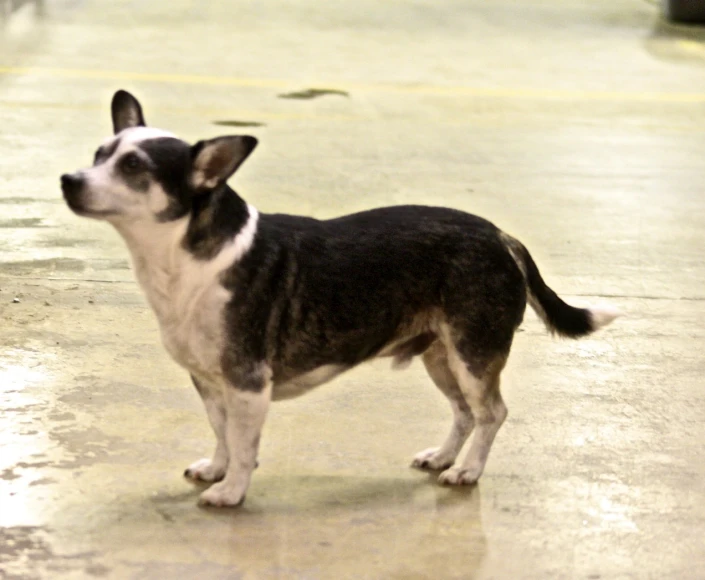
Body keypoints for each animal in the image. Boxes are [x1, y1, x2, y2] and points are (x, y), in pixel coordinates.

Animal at [60, 90, 620, 508]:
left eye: (133, 166)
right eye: (98, 155)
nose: (68, 180)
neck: (183, 259)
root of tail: (501, 235)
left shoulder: (247, 384)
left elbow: (243, 445)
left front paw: (232, 491)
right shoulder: (210, 381)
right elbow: (222, 434)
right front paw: (216, 470)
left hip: (473, 354)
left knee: (491, 414)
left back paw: (466, 472)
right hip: (442, 357)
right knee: (465, 413)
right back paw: (442, 457)